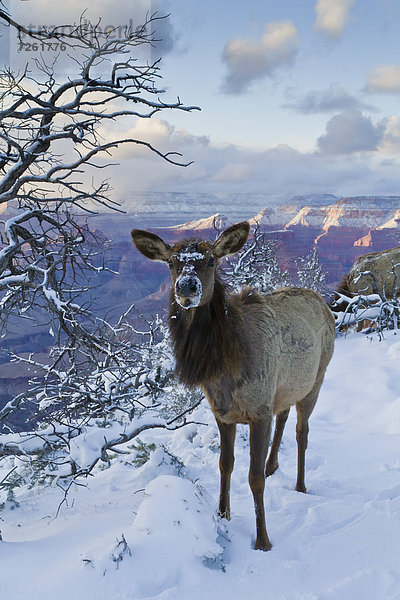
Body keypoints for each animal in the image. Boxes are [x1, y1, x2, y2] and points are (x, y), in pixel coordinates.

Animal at [132, 223, 334, 552]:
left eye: (211, 260)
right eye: (171, 262)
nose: (187, 287)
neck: (222, 369)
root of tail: (322, 301)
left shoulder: (259, 410)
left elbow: (253, 478)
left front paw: (262, 539)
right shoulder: (223, 413)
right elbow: (225, 464)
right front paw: (223, 514)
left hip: (317, 378)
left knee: (302, 431)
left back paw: (300, 484)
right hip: (285, 387)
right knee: (284, 415)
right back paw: (273, 464)